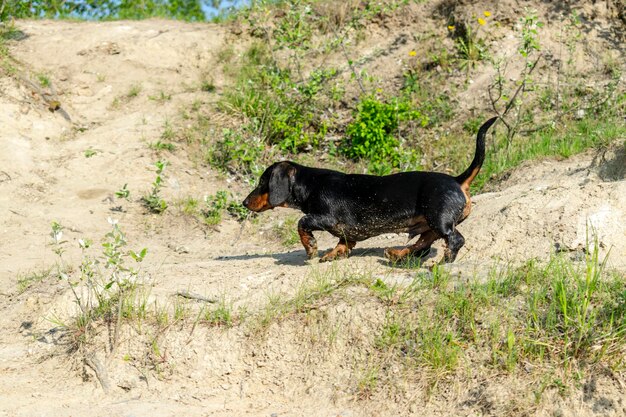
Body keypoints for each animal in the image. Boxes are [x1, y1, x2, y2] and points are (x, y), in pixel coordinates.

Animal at [241, 115, 494, 262]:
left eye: (262, 182)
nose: (244, 202)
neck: (311, 184)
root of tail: (457, 180)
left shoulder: (325, 217)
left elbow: (302, 223)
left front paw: (311, 248)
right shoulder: (347, 233)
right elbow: (344, 244)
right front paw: (333, 254)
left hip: (439, 220)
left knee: (454, 240)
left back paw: (442, 262)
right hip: (429, 227)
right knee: (421, 246)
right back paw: (397, 254)